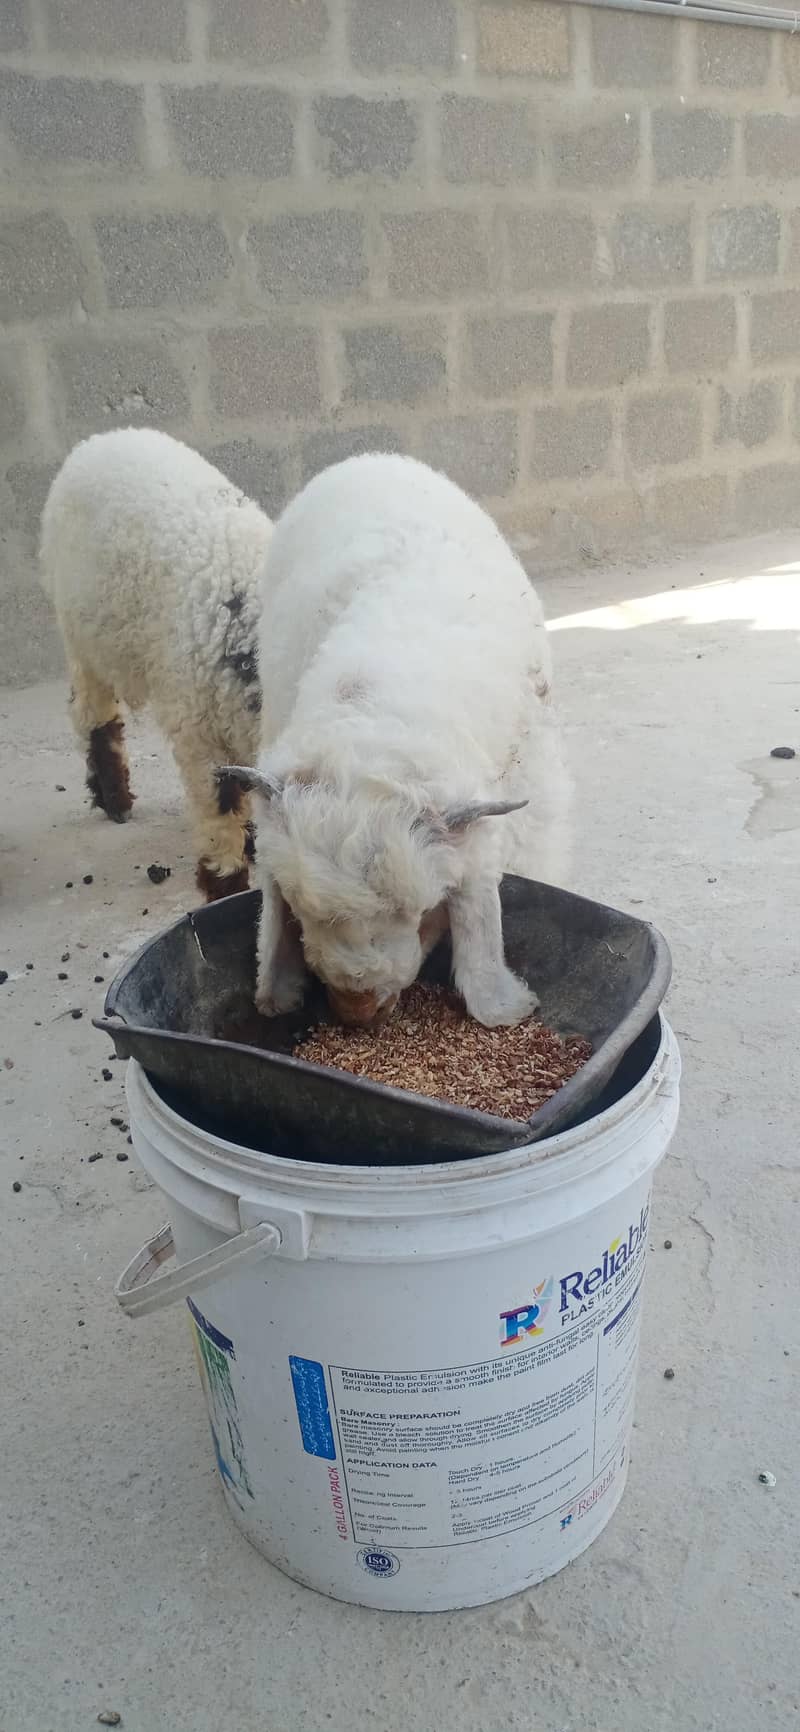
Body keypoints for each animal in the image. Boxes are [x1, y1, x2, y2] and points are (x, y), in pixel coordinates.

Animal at [40, 428, 272, 899]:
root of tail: (99, 440)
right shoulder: (200, 733)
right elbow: (219, 816)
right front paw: (226, 887)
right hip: (82, 630)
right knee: (91, 711)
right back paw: (115, 801)